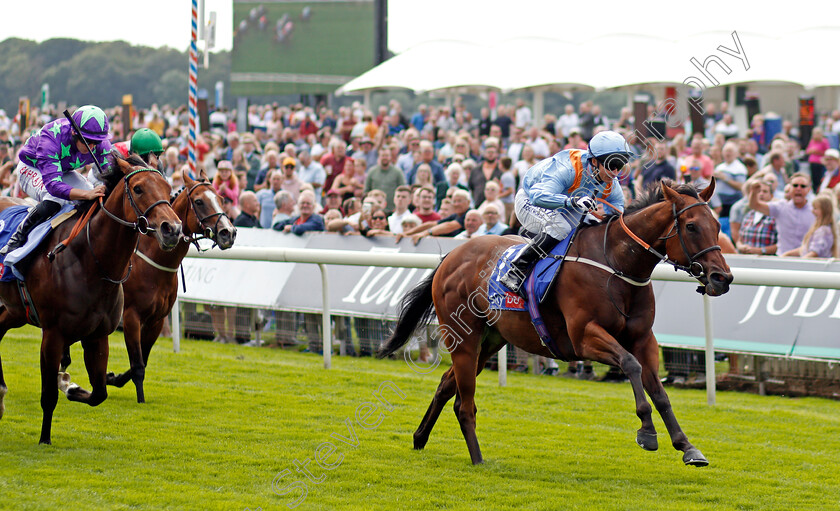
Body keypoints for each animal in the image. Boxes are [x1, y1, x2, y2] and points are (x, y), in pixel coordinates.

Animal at [0, 155, 182, 444]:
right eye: (138, 188)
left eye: (168, 188)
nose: (172, 229)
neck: (90, 261)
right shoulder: (53, 334)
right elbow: (48, 396)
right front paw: (44, 438)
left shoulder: (98, 335)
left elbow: (99, 393)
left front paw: (69, 385)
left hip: (14, 310)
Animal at [105, 170, 238, 402]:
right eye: (199, 201)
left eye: (221, 199)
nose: (228, 233)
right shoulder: (131, 316)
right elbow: (137, 364)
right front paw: (139, 399)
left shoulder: (157, 320)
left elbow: (142, 360)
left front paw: (113, 377)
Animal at [378, 180, 732, 468]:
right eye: (691, 226)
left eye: (716, 225)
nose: (722, 278)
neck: (617, 264)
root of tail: (450, 257)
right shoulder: (584, 337)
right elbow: (631, 366)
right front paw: (646, 432)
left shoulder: (644, 339)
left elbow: (659, 391)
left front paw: (688, 447)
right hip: (464, 338)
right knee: (465, 404)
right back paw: (477, 459)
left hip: (489, 342)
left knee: (445, 385)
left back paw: (420, 437)